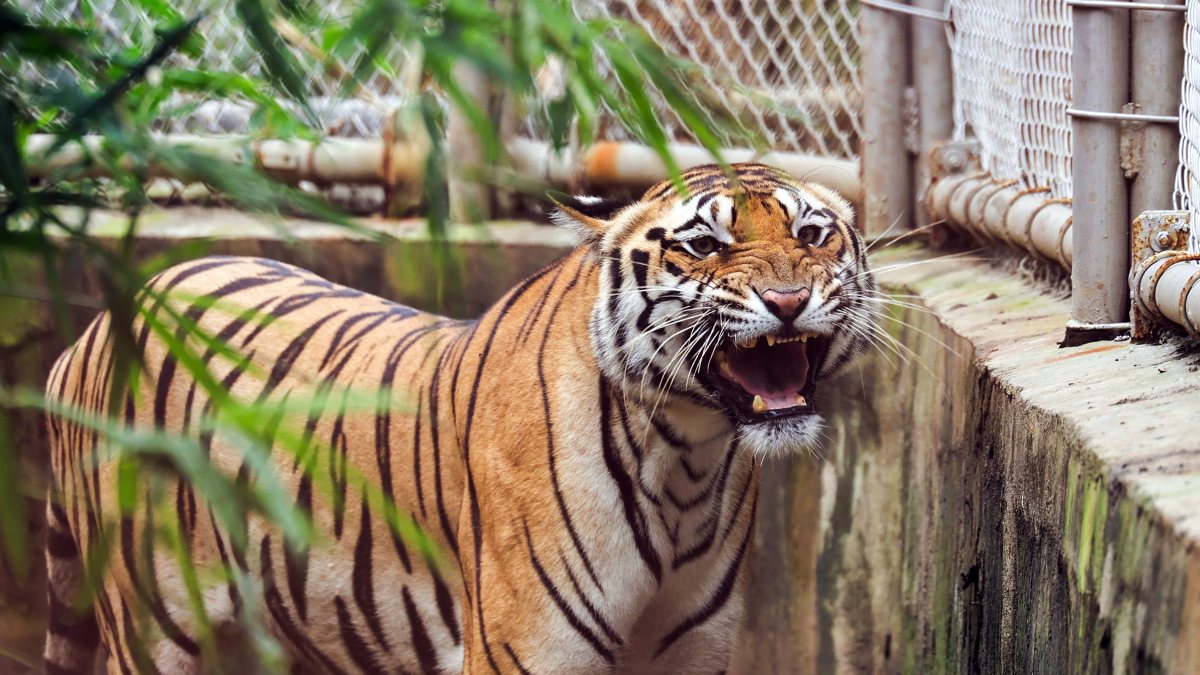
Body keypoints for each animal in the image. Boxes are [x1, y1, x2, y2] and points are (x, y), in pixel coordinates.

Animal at [43, 162, 875, 674]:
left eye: (810, 234)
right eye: (704, 244)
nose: (789, 300)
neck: (685, 454)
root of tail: (88, 333)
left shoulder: (691, 651)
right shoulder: (528, 650)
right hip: (153, 625)